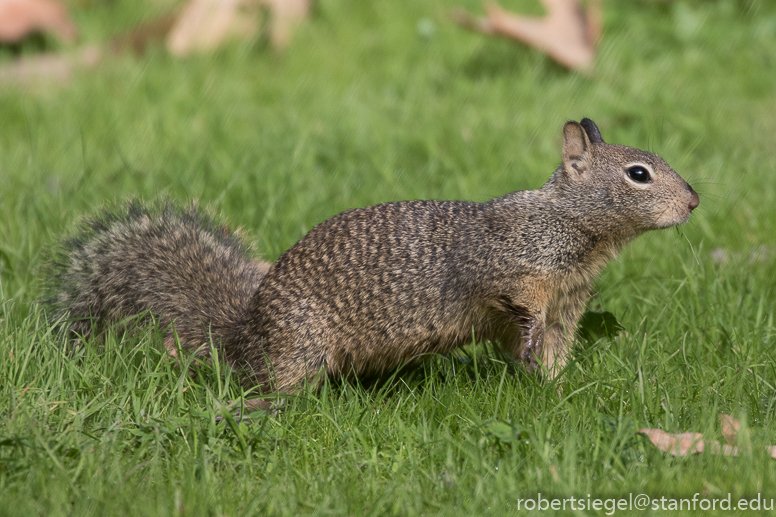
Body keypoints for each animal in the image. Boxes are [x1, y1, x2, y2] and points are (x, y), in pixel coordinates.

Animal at [45, 118, 700, 404]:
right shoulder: (511, 265)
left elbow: (555, 352)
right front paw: (534, 344)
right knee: (274, 383)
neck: (574, 229)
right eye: (638, 174)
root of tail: (243, 333)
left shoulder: (570, 303)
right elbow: (518, 301)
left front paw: (558, 387)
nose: (694, 201)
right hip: (299, 345)